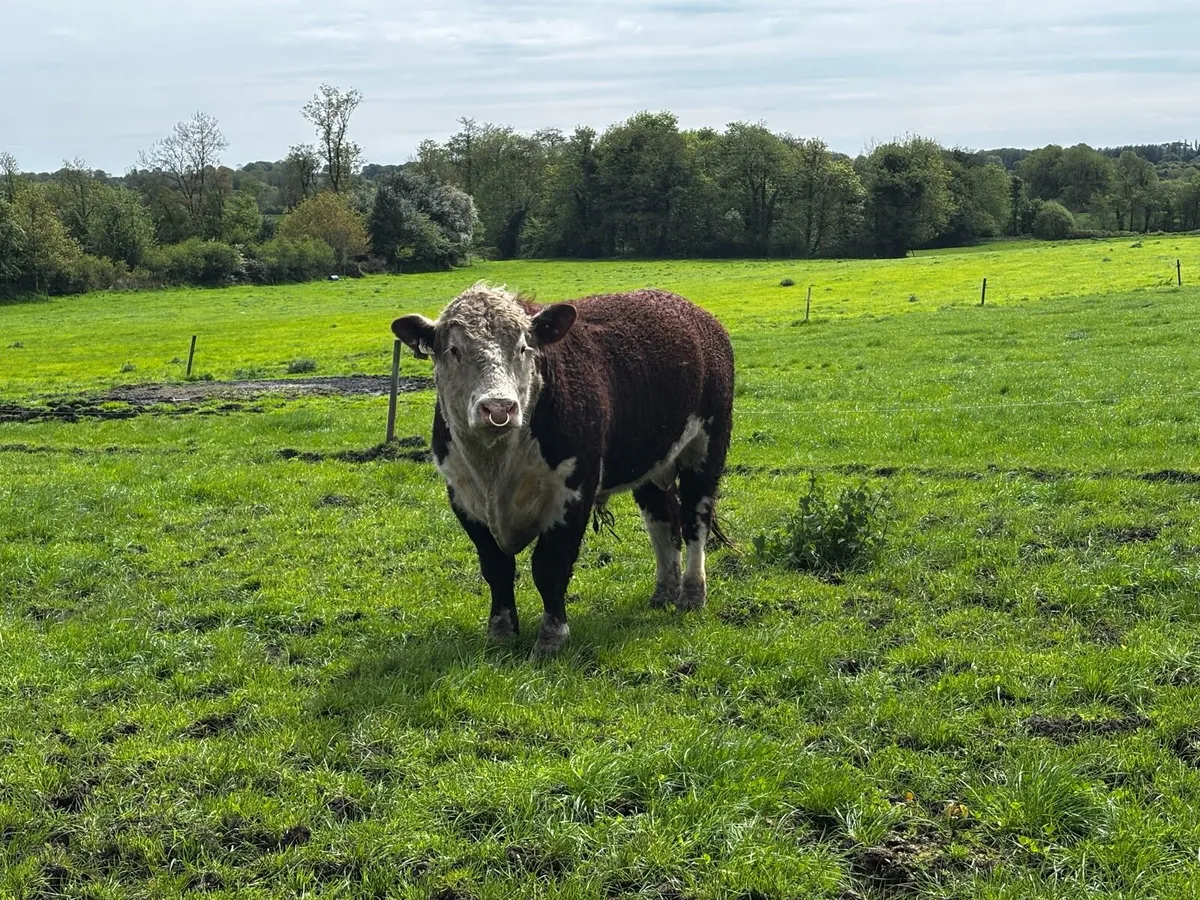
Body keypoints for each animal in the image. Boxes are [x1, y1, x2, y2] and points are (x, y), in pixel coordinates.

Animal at [391, 281, 734, 656]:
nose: (499, 408)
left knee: (695, 520)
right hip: (650, 460)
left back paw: (691, 593)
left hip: (706, 446)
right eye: (454, 350)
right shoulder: (462, 496)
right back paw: (664, 592)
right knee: (662, 523)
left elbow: (550, 567)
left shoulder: (574, 490)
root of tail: (695, 313)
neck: (495, 467)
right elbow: (496, 567)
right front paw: (500, 632)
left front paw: (551, 637)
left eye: (523, 347)